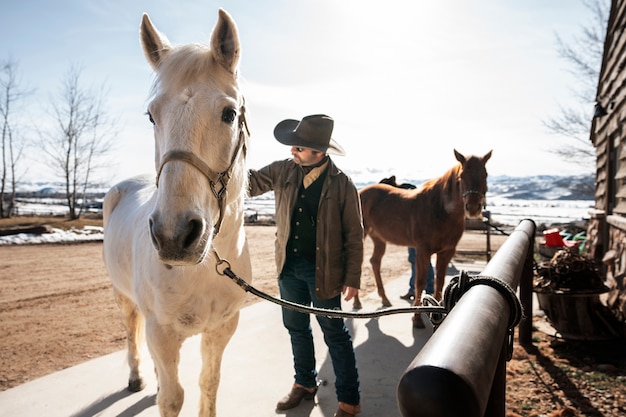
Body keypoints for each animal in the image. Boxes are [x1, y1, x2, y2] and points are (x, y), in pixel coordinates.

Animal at [101, 9, 250, 416]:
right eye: (152, 116)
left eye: (229, 113)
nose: (174, 235)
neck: (205, 269)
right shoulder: (162, 333)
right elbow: (172, 398)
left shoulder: (221, 330)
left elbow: (207, 384)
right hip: (124, 298)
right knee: (130, 331)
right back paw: (137, 377)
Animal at [354, 148, 490, 326]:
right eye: (462, 175)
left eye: (485, 174)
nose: (473, 208)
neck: (440, 209)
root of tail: (360, 192)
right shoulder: (423, 251)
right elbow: (420, 283)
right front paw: (417, 318)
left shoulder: (446, 252)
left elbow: (439, 283)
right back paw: (357, 302)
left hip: (379, 238)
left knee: (375, 261)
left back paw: (384, 299)